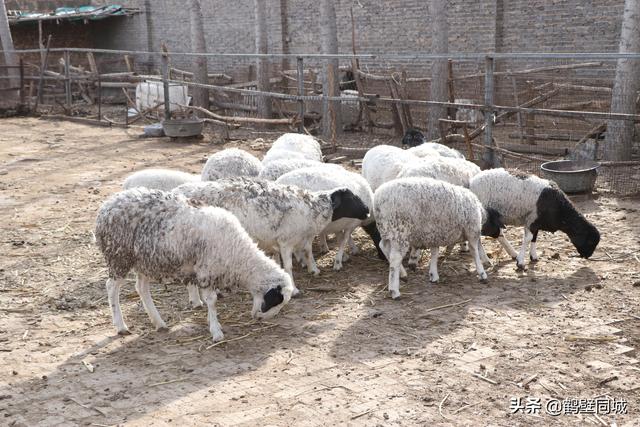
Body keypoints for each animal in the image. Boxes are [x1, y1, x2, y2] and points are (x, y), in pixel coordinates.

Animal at [95, 189, 296, 342]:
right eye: (276, 301)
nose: (259, 319)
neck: (239, 254)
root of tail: (106, 206)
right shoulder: (206, 270)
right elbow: (212, 301)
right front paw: (216, 331)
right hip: (119, 255)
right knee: (111, 287)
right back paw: (121, 326)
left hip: (145, 259)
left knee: (141, 288)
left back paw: (159, 323)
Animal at [172, 177, 368, 294]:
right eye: (352, 198)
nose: (367, 210)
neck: (313, 208)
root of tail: (176, 192)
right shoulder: (286, 241)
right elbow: (288, 266)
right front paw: (294, 289)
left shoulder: (302, 237)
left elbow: (307, 251)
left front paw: (314, 269)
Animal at [372, 176, 502, 300]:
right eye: (497, 222)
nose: (499, 234)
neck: (480, 214)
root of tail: (377, 199)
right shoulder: (472, 230)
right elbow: (474, 251)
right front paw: (482, 273)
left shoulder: (435, 233)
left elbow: (435, 252)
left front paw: (433, 274)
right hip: (400, 232)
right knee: (395, 258)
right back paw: (395, 291)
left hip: (387, 231)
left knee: (383, 246)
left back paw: (403, 274)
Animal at [470, 169, 600, 270]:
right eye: (590, 241)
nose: (588, 256)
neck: (561, 211)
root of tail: (471, 182)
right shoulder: (531, 219)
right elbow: (528, 238)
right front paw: (520, 262)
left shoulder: (536, 221)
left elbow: (534, 237)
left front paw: (533, 256)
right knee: (479, 239)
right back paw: (486, 259)